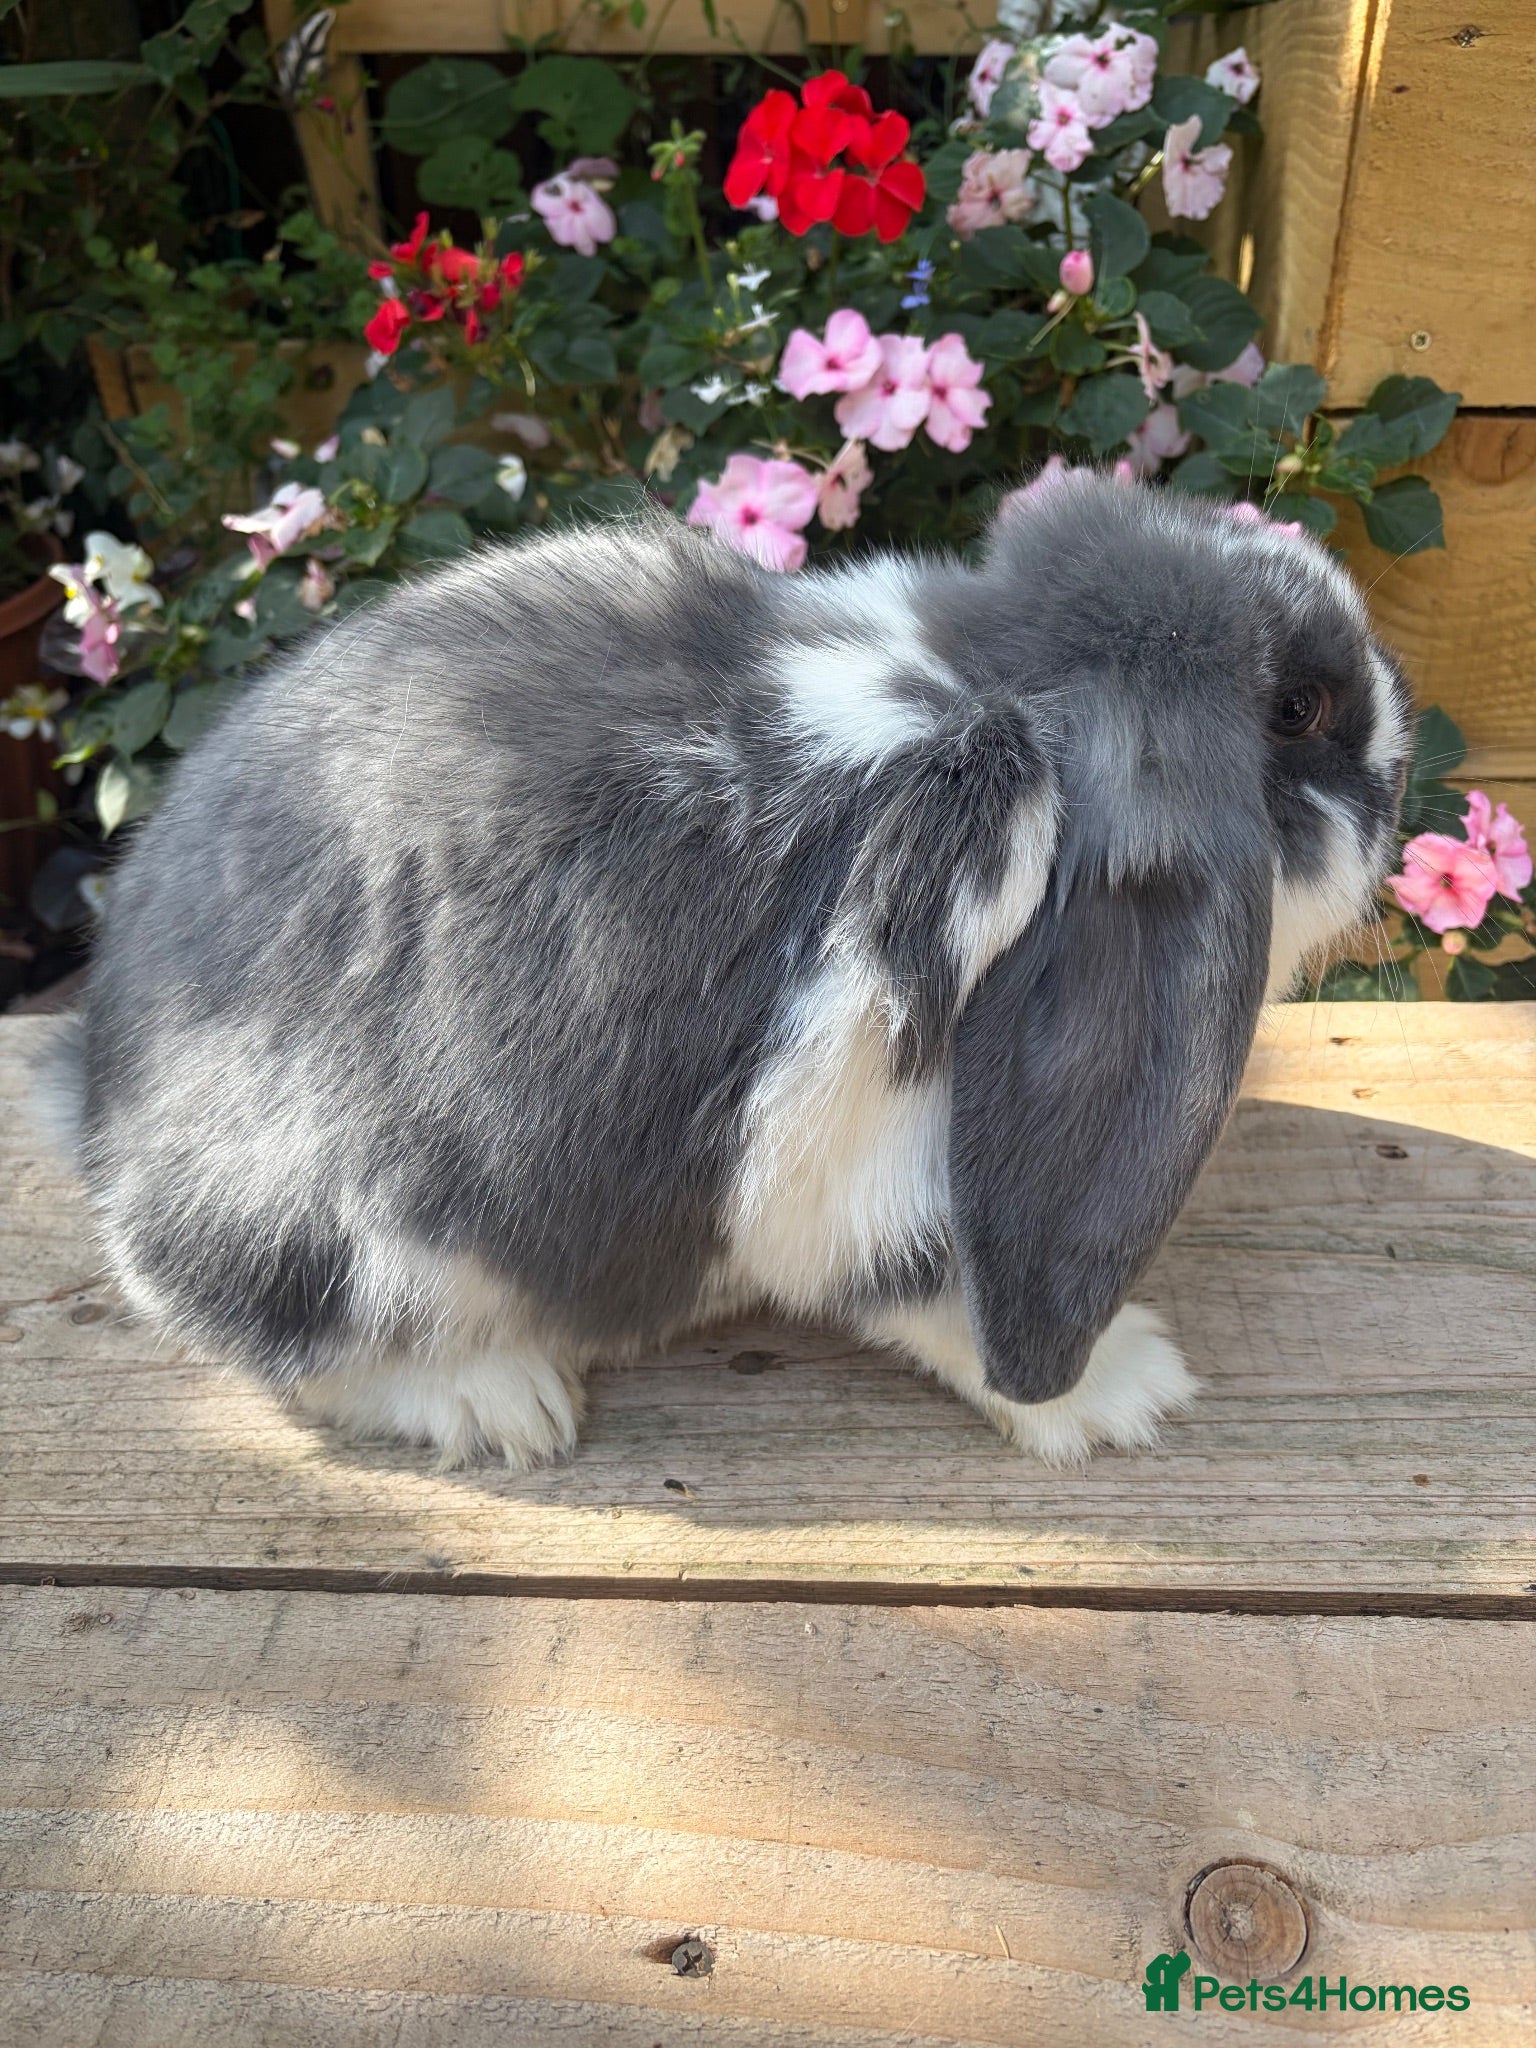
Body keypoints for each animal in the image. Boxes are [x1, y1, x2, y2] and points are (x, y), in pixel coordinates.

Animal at [40, 470, 1412, 1470]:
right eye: (1296, 708)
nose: (1403, 773)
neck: (989, 681)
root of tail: (101, 1111)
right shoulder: (850, 1148)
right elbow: (933, 1289)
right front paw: (1128, 1389)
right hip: (340, 1245)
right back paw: (502, 1403)